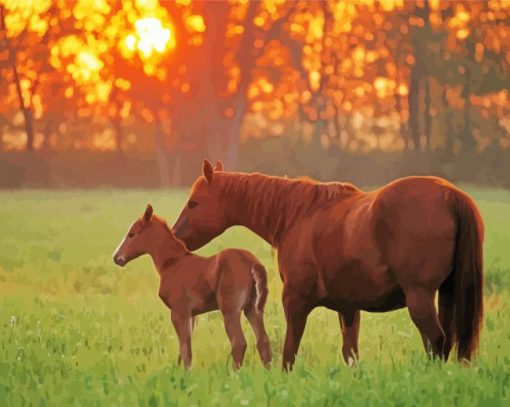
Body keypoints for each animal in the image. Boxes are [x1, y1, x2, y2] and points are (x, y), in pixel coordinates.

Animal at [113, 206, 272, 372]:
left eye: (132, 234)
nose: (116, 258)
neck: (173, 263)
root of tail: (253, 263)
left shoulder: (179, 312)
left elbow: (185, 349)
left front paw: (185, 375)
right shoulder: (190, 315)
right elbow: (184, 348)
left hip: (230, 310)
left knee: (239, 343)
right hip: (252, 309)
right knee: (263, 341)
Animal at [173, 161, 484, 372]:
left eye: (194, 203)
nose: (175, 236)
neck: (297, 214)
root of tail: (451, 194)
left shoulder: (295, 300)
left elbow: (289, 351)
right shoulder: (348, 309)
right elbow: (350, 353)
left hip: (419, 297)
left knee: (436, 340)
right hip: (445, 295)